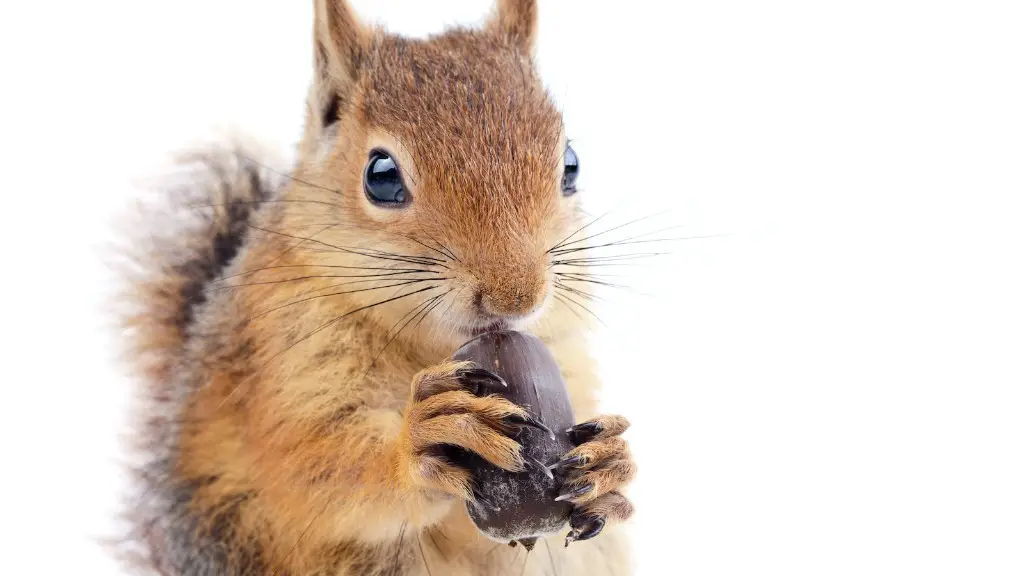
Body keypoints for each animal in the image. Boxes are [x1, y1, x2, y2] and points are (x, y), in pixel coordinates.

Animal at [116, 2, 634, 569]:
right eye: (380, 175)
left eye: (571, 165)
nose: (516, 296)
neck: (430, 349)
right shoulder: (277, 362)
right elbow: (309, 466)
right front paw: (423, 438)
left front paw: (612, 465)